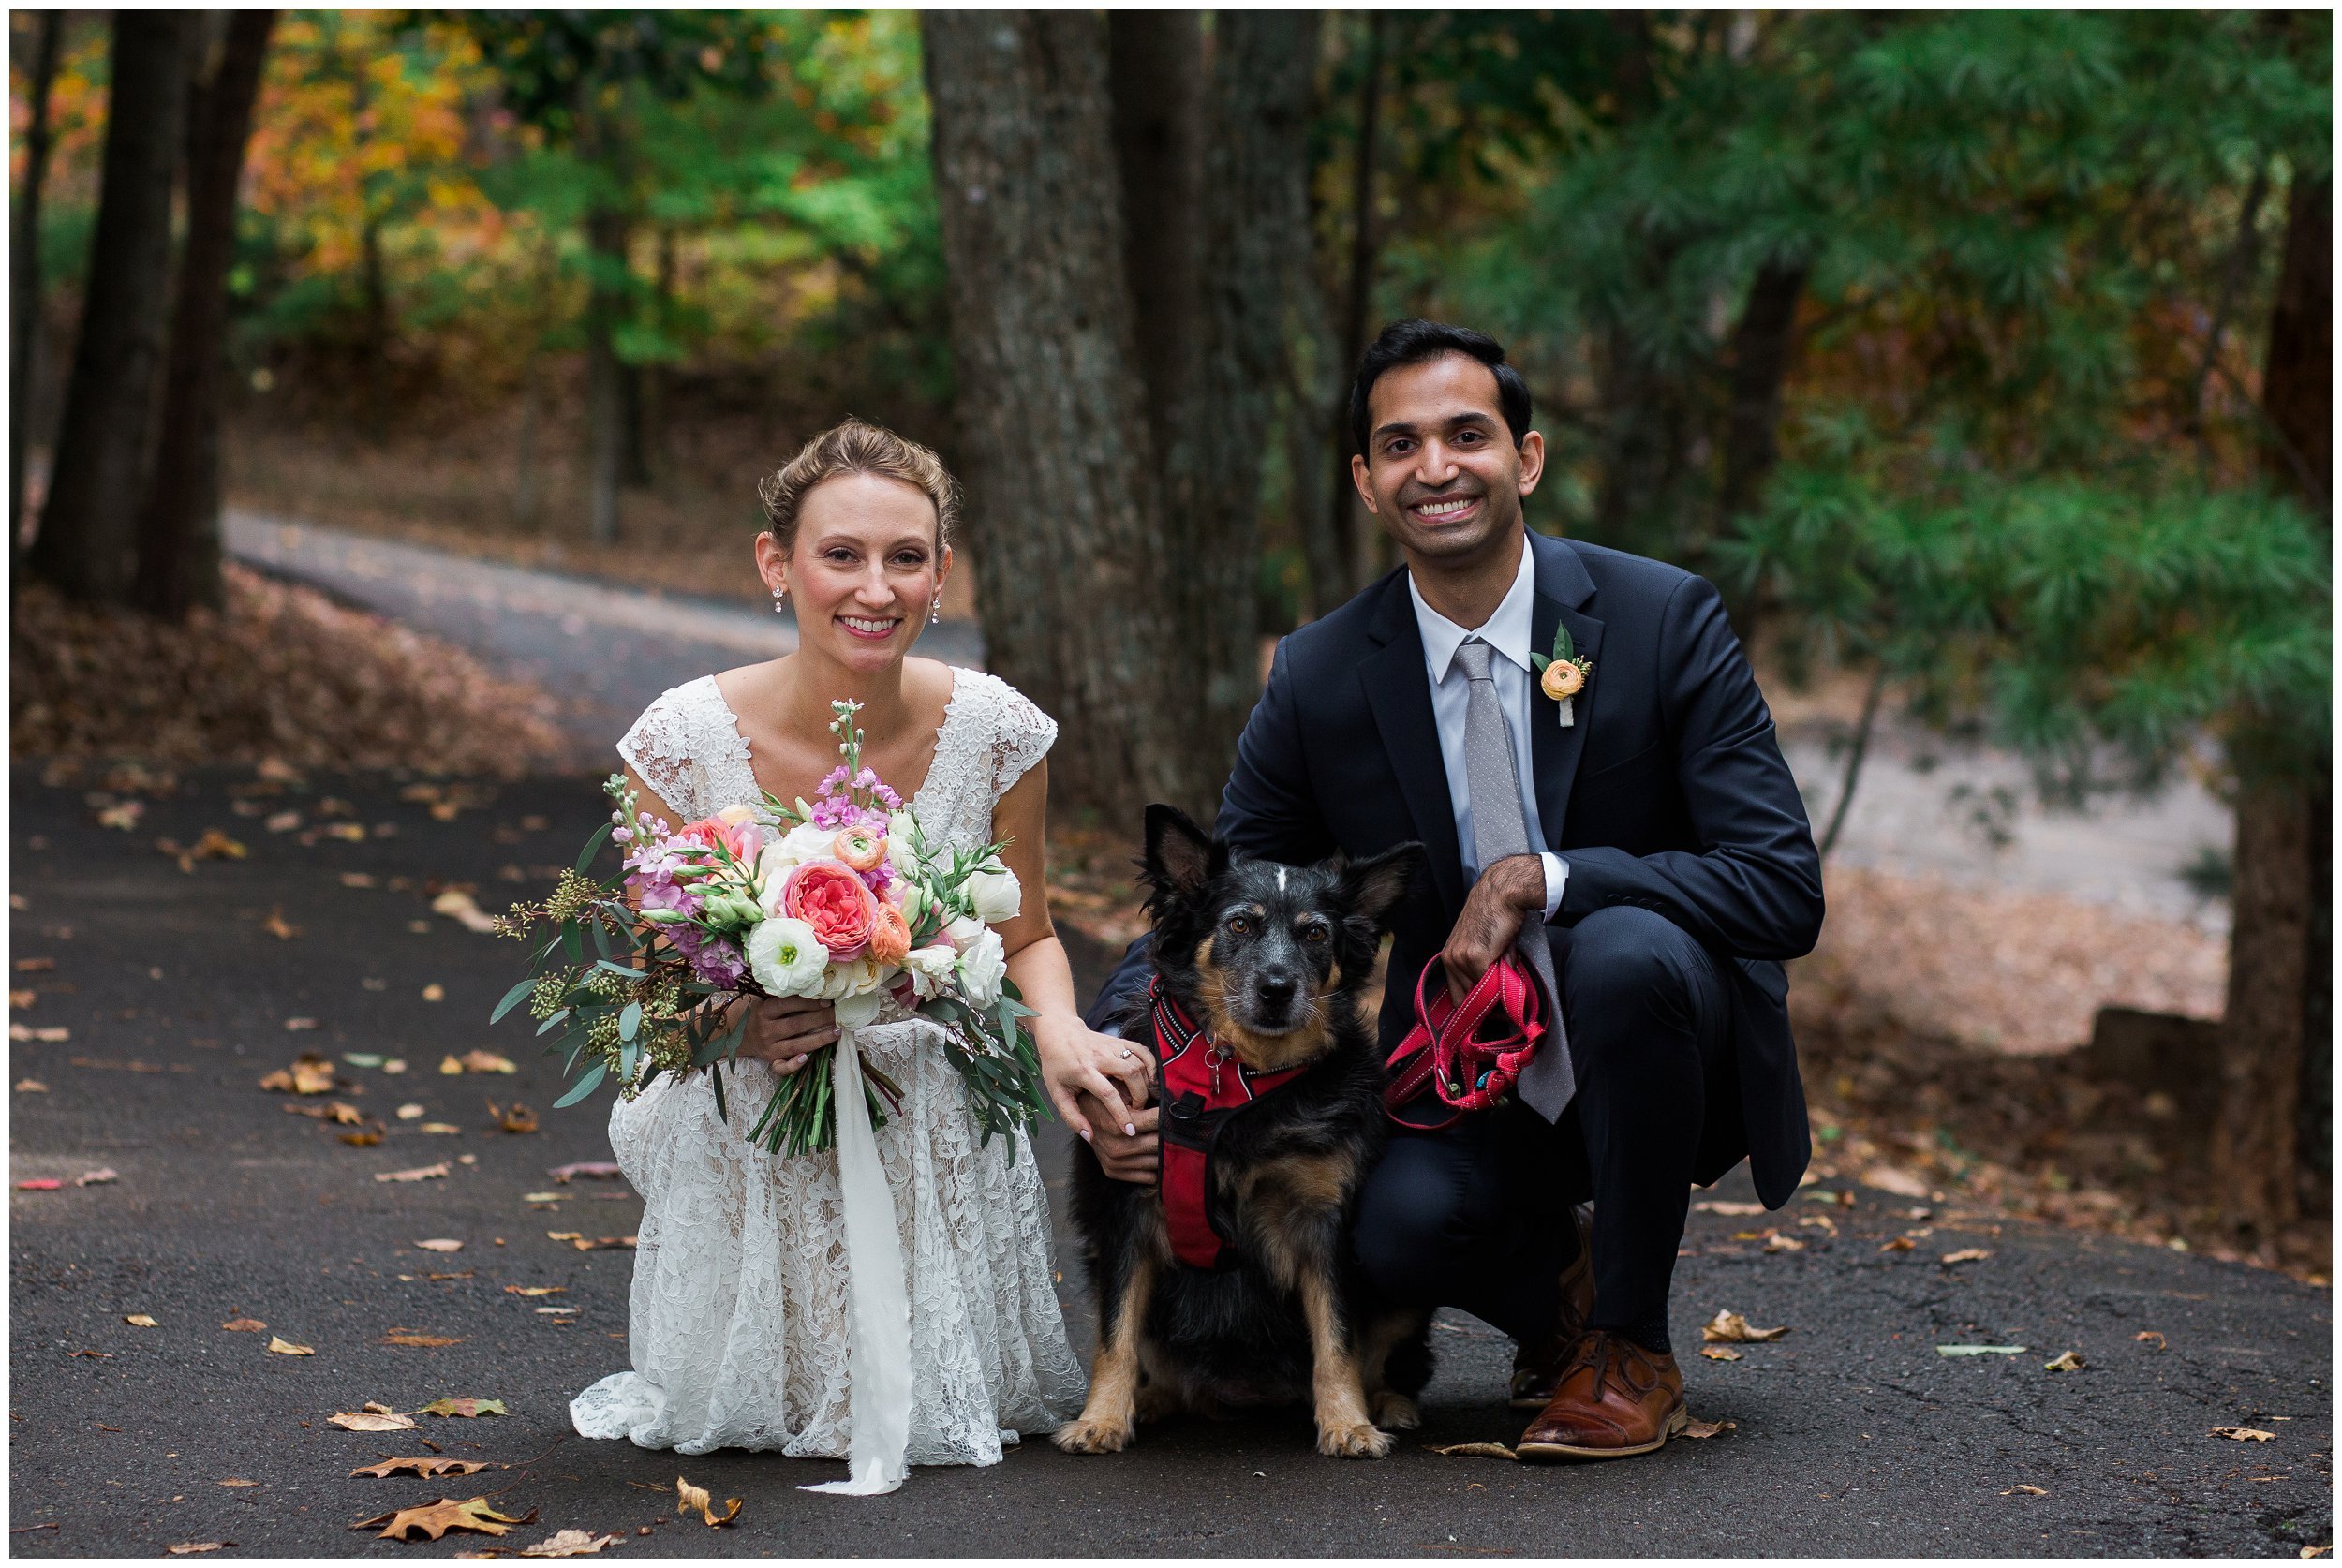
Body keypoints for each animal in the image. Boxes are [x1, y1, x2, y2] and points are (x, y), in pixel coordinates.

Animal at [1059, 809, 1424, 1460]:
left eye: (1315, 934)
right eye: (1240, 923)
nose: (1277, 989)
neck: (1241, 1082)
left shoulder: (1322, 1223)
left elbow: (1337, 1338)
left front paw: (1348, 1422)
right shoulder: (1127, 1215)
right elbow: (1115, 1334)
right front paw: (1100, 1418)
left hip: (1404, 1299)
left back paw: (1388, 1403)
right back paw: (1149, 1400)